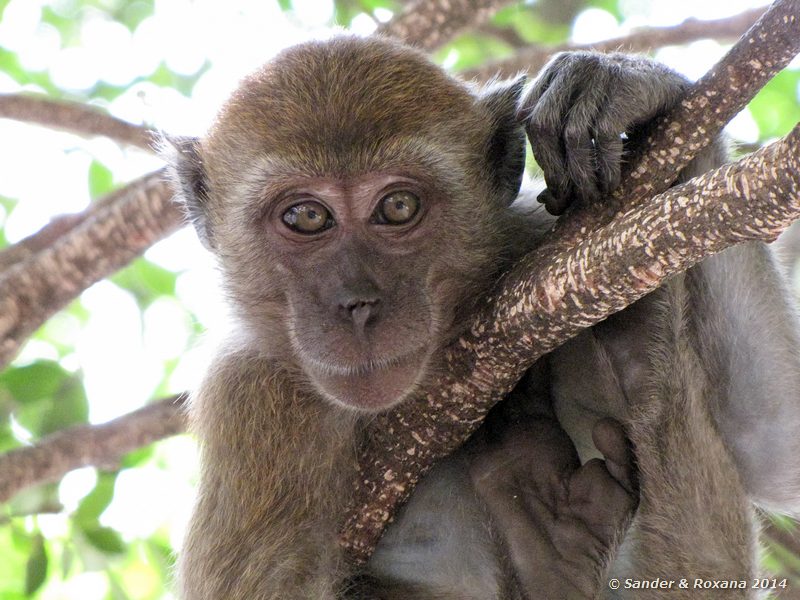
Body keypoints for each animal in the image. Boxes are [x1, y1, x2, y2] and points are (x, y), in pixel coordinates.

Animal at [164, 36, 800, 599]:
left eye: (398, 207)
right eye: (306, 217)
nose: (358, 304)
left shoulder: (544, 242)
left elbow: (771, 442)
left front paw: (635, 88)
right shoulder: (253, 399)